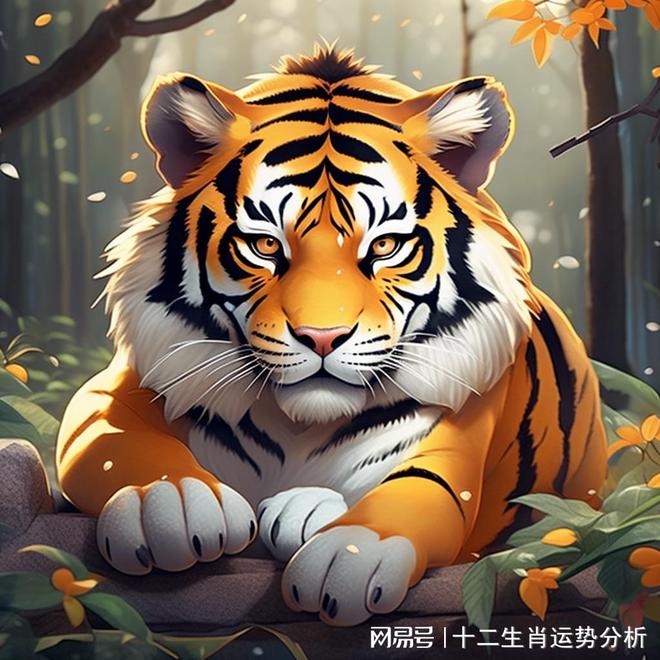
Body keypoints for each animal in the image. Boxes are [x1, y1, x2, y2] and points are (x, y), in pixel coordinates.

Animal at [56, 45, 607, 627]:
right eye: (265, 245)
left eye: (385, 245)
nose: (323, 338)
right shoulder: (112, 393)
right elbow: (110, 440)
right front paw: (171, 504)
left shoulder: (452, 444)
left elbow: (414, 493)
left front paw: (350, 553)